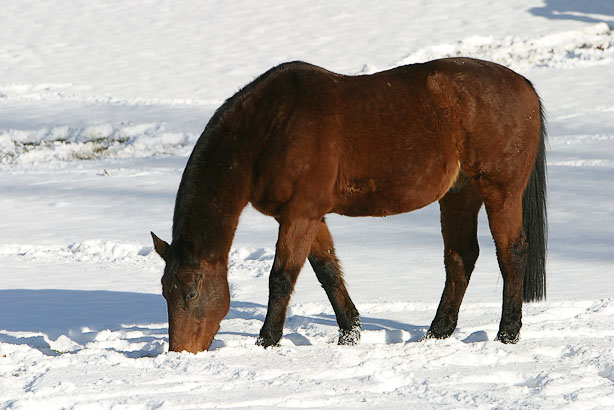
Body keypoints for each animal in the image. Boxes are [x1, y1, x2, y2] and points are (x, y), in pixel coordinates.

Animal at [153, 56, 548, 352]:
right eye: (163, 291)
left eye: (191, 291)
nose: (180, 354)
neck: (271, 127)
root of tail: (524, 85)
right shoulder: (308, 216)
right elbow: (327, 272)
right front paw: (349, 333)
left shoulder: (300, 215)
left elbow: (281, 278)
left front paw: (267, 341)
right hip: (459, 195)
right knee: (461, 257)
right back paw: (438, 332)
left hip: (500, 192)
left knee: (512, 253)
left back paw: (507, 334)